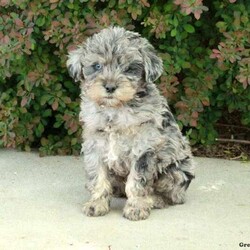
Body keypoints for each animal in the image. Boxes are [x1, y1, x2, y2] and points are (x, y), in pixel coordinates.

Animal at [67, 25, 195, 221]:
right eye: (97, 66)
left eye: (128, 69)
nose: (110, 87)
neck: (115, 109)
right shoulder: (95, 146)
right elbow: (98, 177)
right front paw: (97, 204)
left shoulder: (143, 148)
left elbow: (137, 181)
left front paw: (137, 207)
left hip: (175, 171)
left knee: (174, 195)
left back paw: (156, 200)